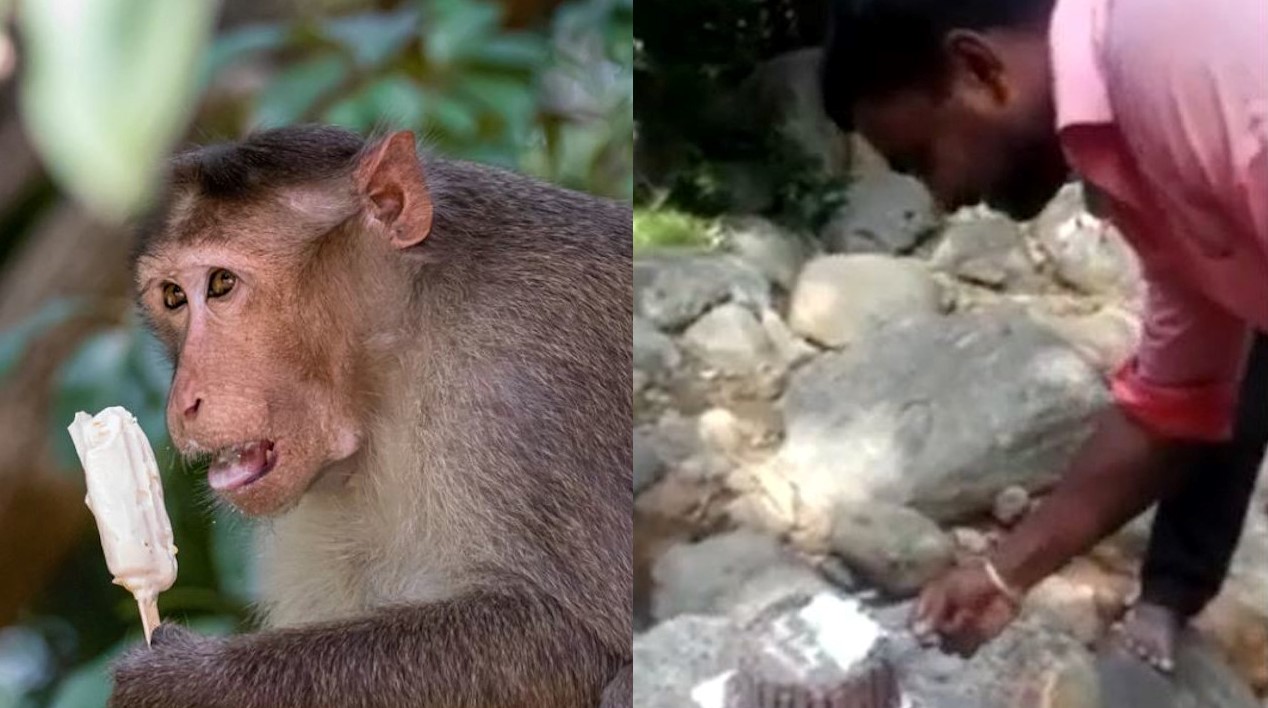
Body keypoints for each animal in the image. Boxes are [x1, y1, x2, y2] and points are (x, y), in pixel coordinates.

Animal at [112, 124, 634, 705]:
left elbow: (576, 634)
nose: (183, 402)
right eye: (174, 296)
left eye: (221, 284)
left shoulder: (532, 386)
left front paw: (186, 683)